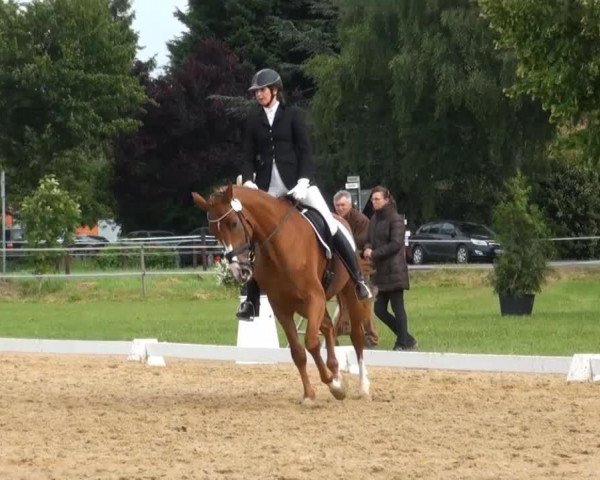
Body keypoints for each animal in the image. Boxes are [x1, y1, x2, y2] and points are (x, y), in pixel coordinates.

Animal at [193, 186, 370, 404]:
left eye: (233, 223)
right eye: (213, 231)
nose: (239, 271)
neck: (279, 245)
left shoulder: (314, 298)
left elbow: (311, 343)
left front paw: (333, 385)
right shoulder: (282, 308)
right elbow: (298, 352)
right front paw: (311, 394)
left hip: (347, 294)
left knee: (356, 336)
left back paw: (362, 386)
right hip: (305, 305)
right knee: (328, 327)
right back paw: (336, 372)